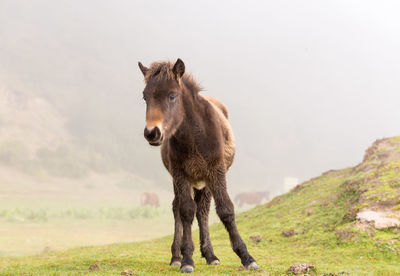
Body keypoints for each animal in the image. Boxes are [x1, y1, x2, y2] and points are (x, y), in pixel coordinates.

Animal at [138, 59, 256, 272]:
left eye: (172, 95)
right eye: (145, 97)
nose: (152, 133)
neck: (194, 135)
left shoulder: (216, 171)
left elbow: (225, 210)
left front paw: (246, 257)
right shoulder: (180, 174)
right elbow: (185, 210)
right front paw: (186, 259)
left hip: (204, 180)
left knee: (203, 211)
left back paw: (210, 255)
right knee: (179, 207)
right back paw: (177, 255)